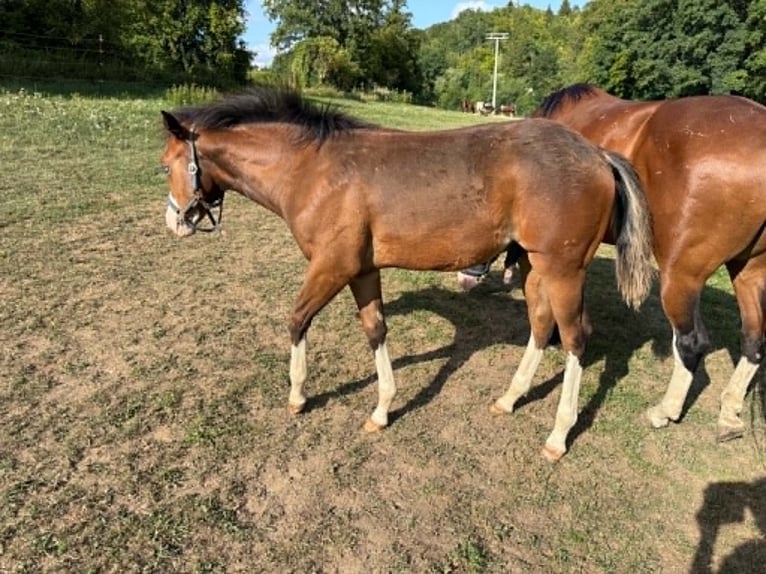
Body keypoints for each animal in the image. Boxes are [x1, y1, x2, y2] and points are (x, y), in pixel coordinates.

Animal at [159, 84, 654, 461]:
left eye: (166, 166)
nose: (175, 222)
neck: (312, 169)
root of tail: (598, 154)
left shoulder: (331, 267)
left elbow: (297, 320)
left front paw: (298, 396)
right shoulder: (361, 270)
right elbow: (376, 329)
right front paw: (382, 410)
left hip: (563, 270)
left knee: (575, 337)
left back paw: (558, 435)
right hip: (535, 267)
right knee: (540, 324)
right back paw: (509, 399)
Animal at [533, 83, 766, 440]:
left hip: (681, 276)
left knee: (692, 342)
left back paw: (665, 410)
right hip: (749, 272)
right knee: (754, 339)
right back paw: (729, 412)